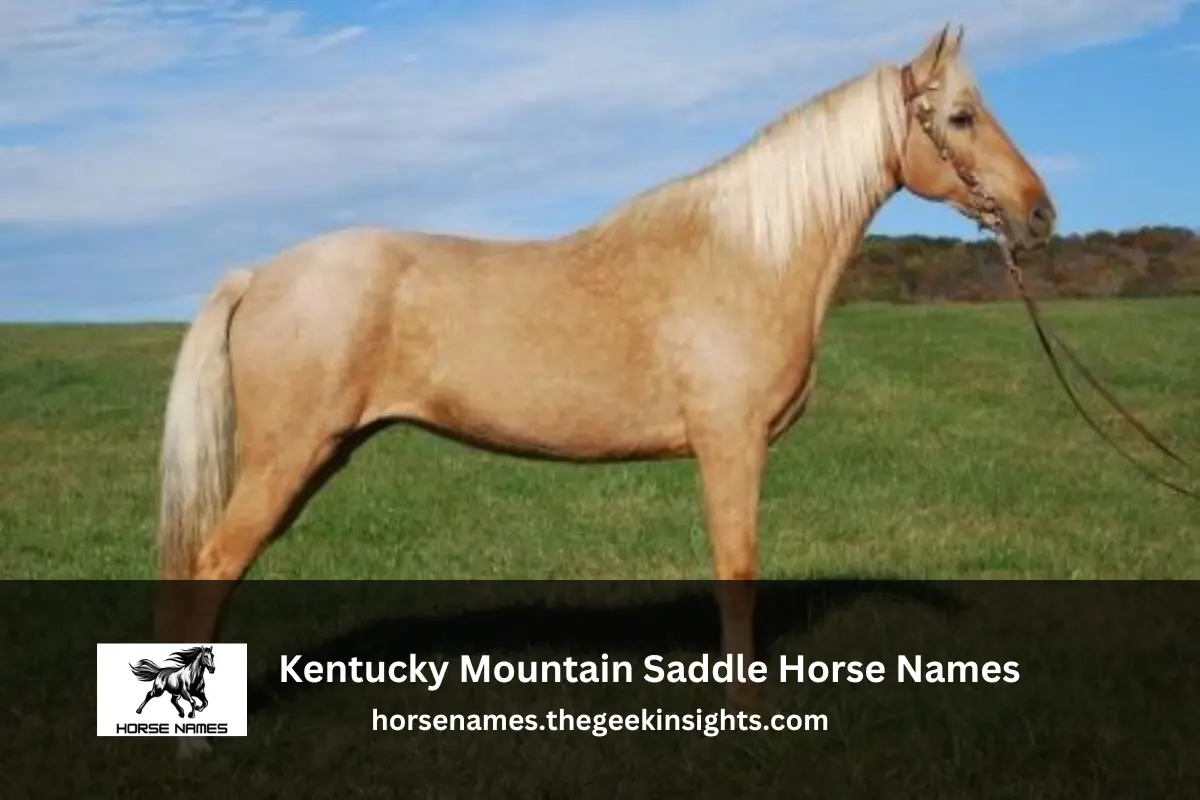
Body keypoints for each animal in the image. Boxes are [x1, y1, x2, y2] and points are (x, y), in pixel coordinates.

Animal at [153, 23, 1055, 754]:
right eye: (963, 116)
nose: (1040, 215)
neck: (748, 254)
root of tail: (260, 274)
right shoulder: (730, 445)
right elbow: (737, 567)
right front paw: (744, 716)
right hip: (287, 458)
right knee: (213, 563)